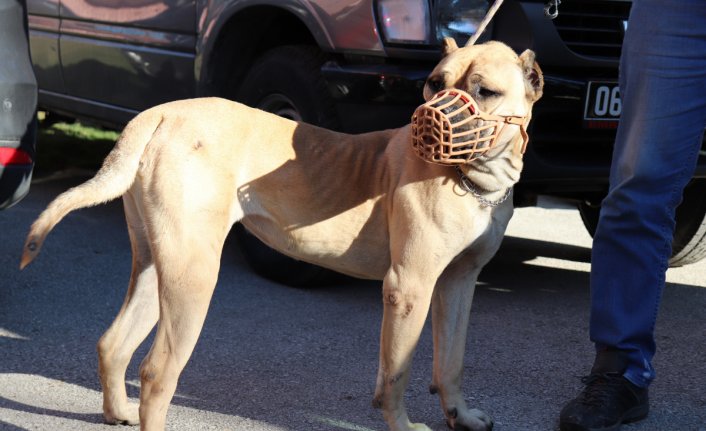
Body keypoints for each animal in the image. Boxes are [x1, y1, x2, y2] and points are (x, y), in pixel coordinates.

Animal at [20, 38, 540, 430]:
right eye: (434, 83)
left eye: (485, 91)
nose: (427, 122)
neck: (473, 180)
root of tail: (159, 114)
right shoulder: (409, 288)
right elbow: (396, 374)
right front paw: (404, 426)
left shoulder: (459, 283)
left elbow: (450, 360)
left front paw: (461, 415)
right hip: (193, 278)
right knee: (156, 372)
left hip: (156, 266)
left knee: (113, 344)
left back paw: (118, 412)